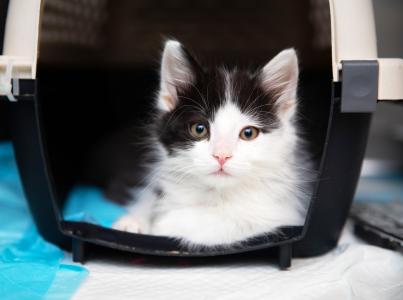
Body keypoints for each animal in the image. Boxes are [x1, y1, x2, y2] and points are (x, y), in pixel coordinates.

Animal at [112, 39, 314, 246]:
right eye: (199, 129)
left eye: (248, 133)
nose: (222, 156)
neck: (217, 195)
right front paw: (135, 220)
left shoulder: (283, 213)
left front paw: (163, 223)